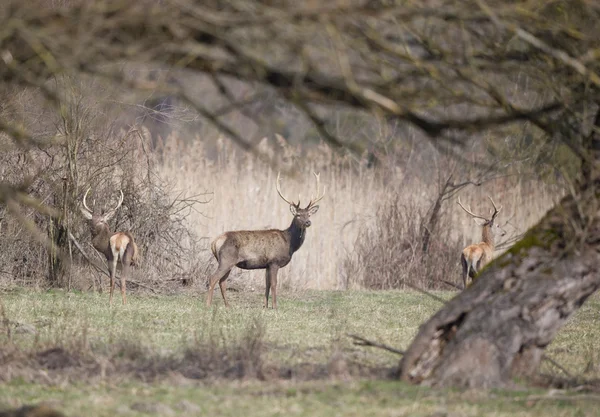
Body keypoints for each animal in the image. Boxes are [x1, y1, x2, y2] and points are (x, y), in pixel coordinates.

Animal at [207, 171, 328, 308]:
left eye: (308, 214)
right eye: (298, 215)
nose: (308, 222)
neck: (289, 243)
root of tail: (215, 242)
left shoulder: (267, 265)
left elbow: (267, 285)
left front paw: (265, 305)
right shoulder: (274, 261)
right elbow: (274, 284)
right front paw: (275, 306)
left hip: (227, 262)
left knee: (222, 281)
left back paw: (228, 306)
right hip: (226, 260)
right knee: (213, 278)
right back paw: (208, 304)